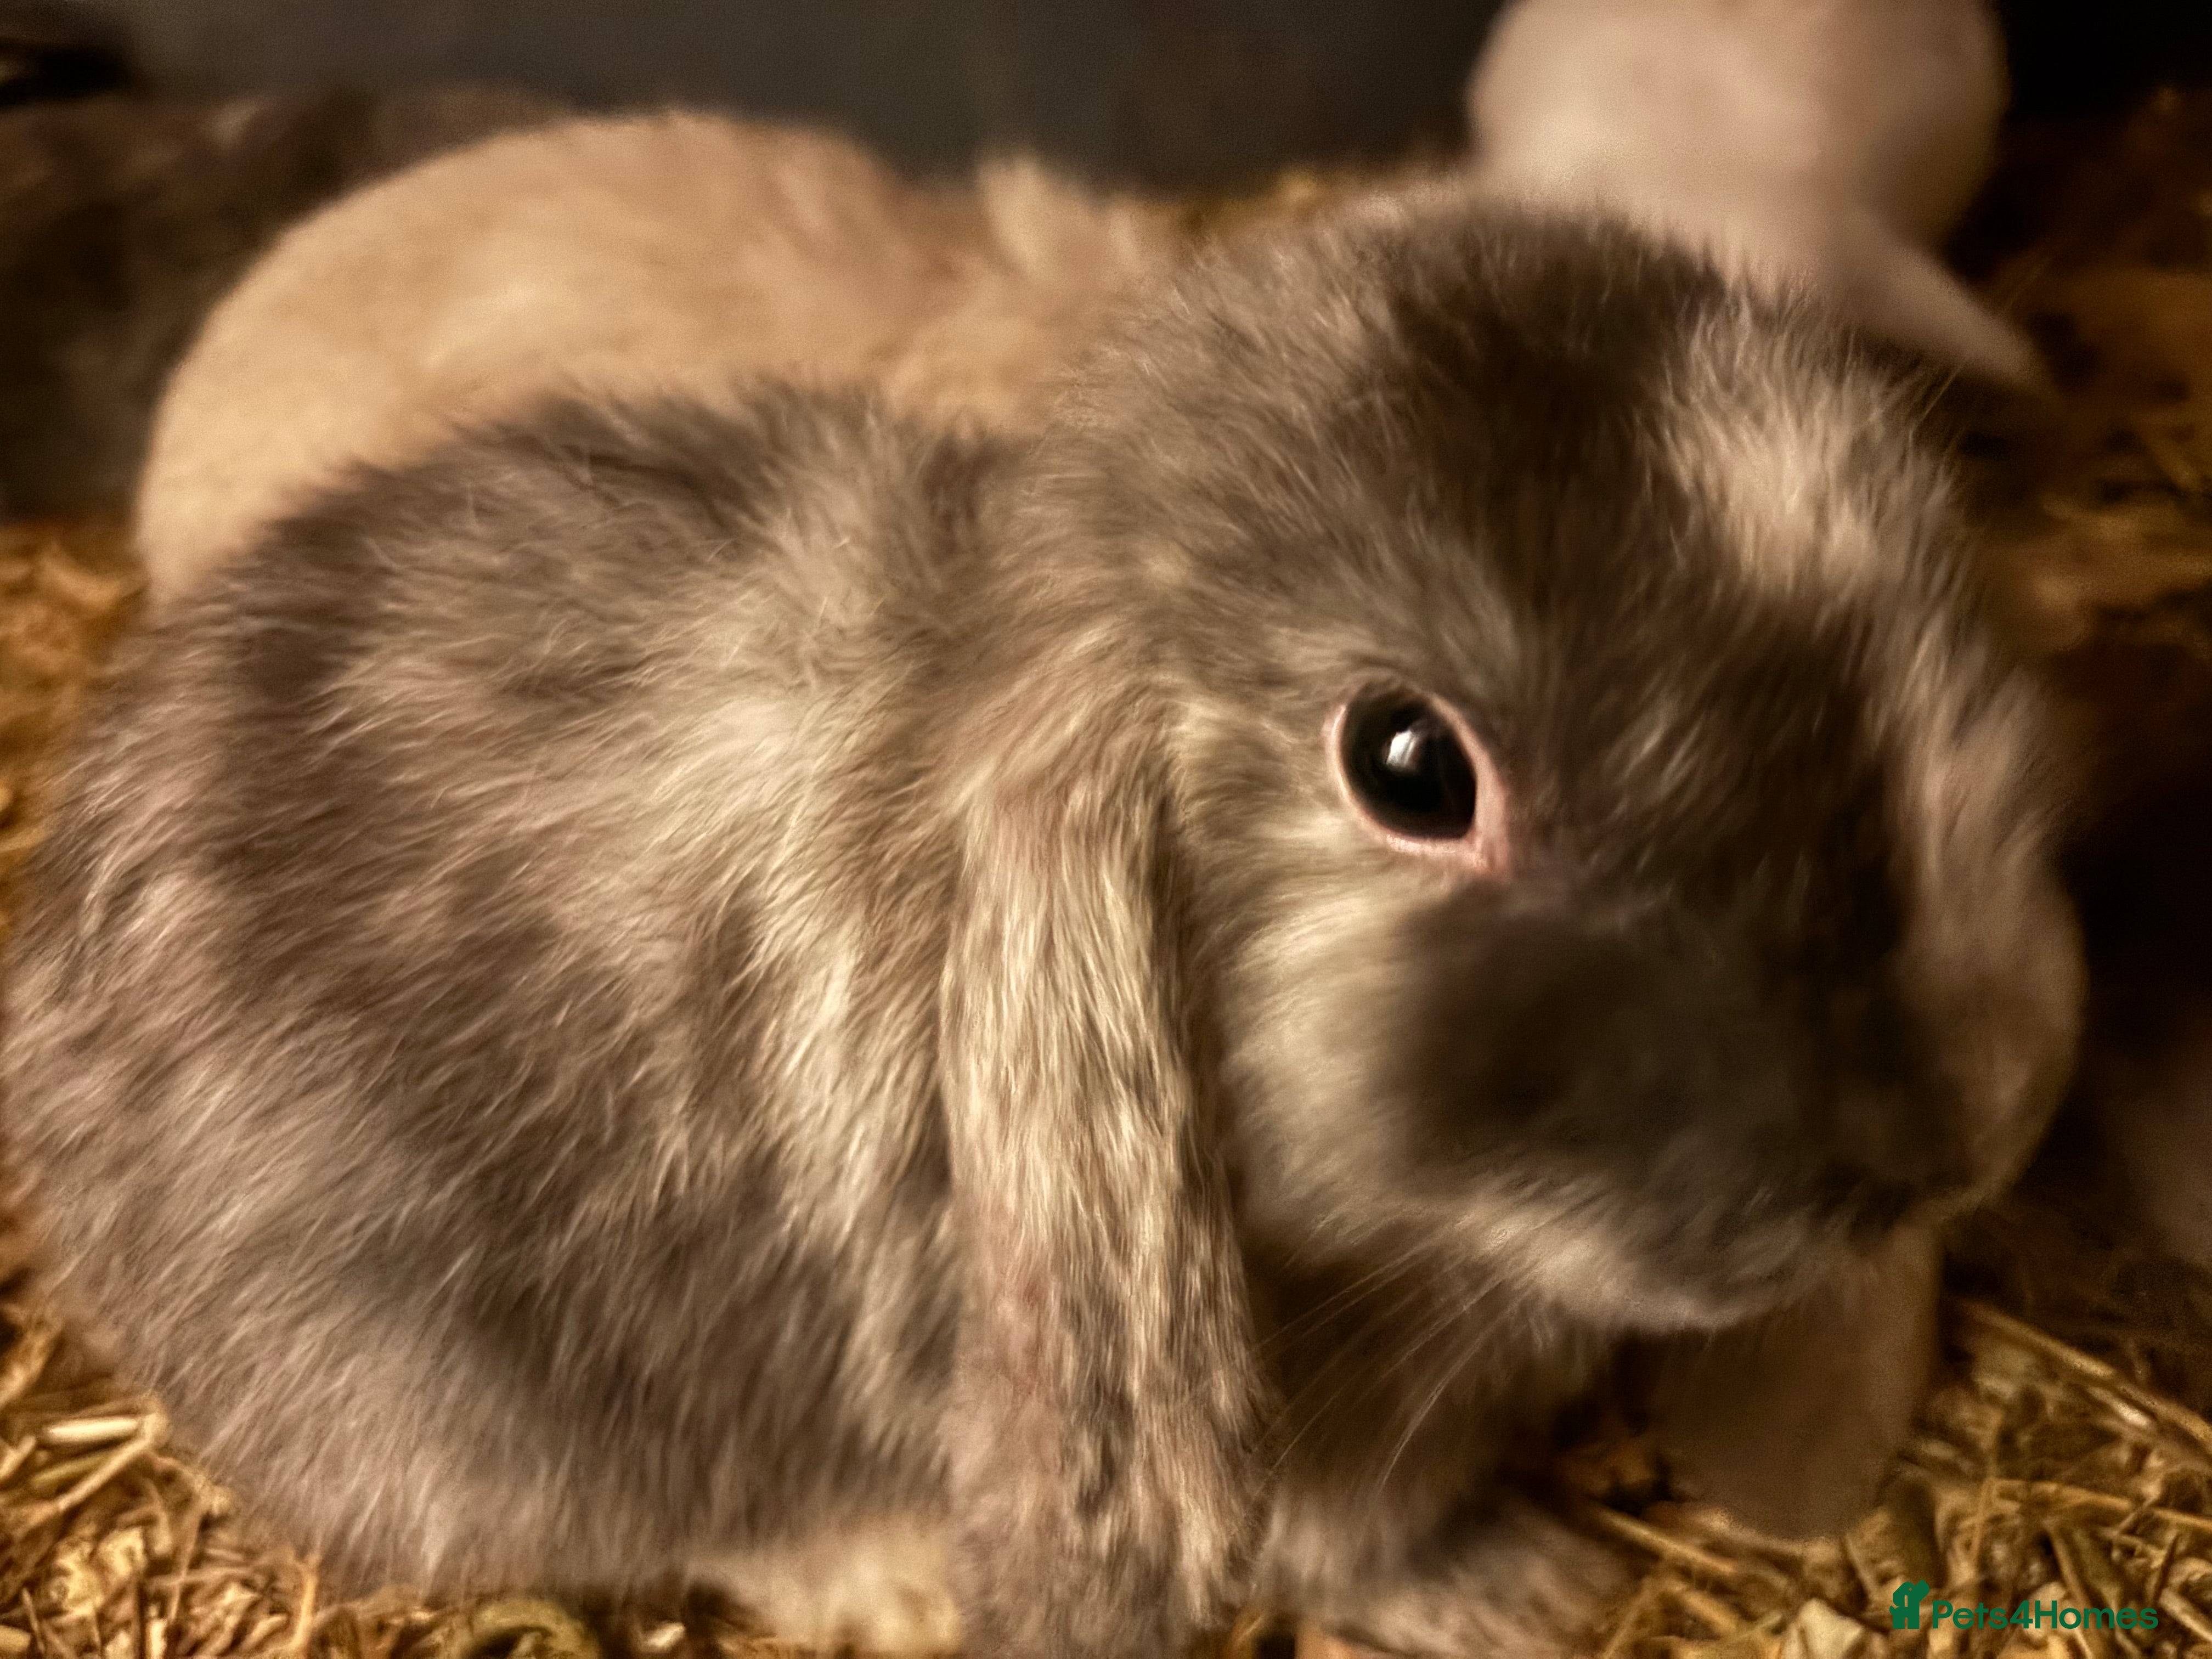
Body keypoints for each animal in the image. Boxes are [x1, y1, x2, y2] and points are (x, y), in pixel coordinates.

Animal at [1, 181, 2085, 1658]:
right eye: (1409, 768)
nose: (1974, 1127)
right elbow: (1344, 1533)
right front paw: (1524, 1596)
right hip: (468, 1393)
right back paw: (896, 1579)